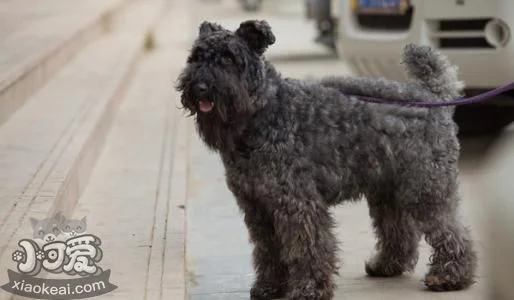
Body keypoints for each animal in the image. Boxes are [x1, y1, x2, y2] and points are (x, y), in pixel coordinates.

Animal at [176, 19, 476, 298]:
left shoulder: (296, 203)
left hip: (425, 188)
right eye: (195, 57)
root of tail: (432, 96)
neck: (264, 110)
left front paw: (308, 289)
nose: (200, 87)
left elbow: (306, 247)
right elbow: (268, 249)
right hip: (387, 191)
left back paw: (449, 276)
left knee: (450, 228)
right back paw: (386, 265)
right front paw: (269, 286)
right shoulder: (257, 206)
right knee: (398, 230)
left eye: (229, 58)